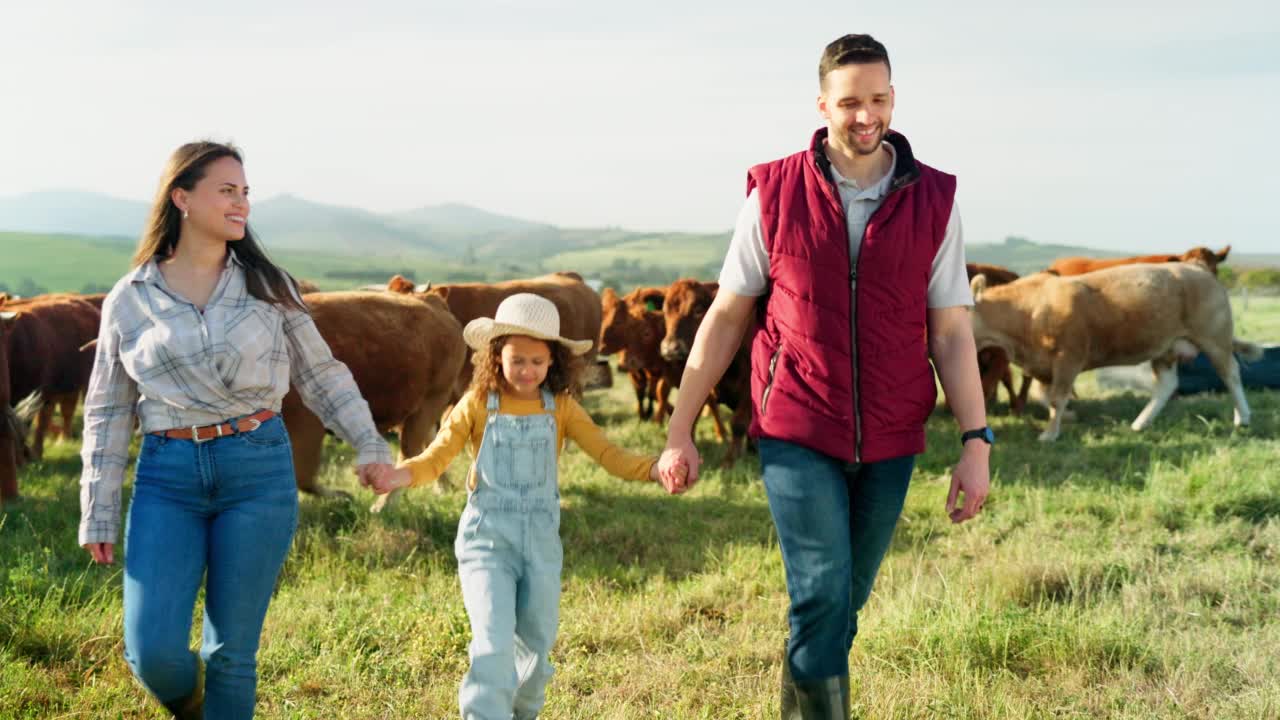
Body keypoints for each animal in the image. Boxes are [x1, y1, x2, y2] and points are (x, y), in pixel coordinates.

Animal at [282, 289, 468, 504]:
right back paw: (443, 487)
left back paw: (384, 504)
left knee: (410, 451)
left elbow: (302, 476)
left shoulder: (306, 423)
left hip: (431, 400)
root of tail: (433, 300)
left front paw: (341, 496)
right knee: (433, 443)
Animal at [967, 260, 1259, 440]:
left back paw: (1243, 417)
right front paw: (1067, 417)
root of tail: (1196, 268)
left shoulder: (1068, 358)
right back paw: (1141, 423)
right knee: (1167, 385)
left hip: (1214, 338)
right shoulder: (1043, 366)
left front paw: (1049, 434)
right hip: (1165, 349)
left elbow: (1057, 397)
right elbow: (1046, 396)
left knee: (1231, 374)